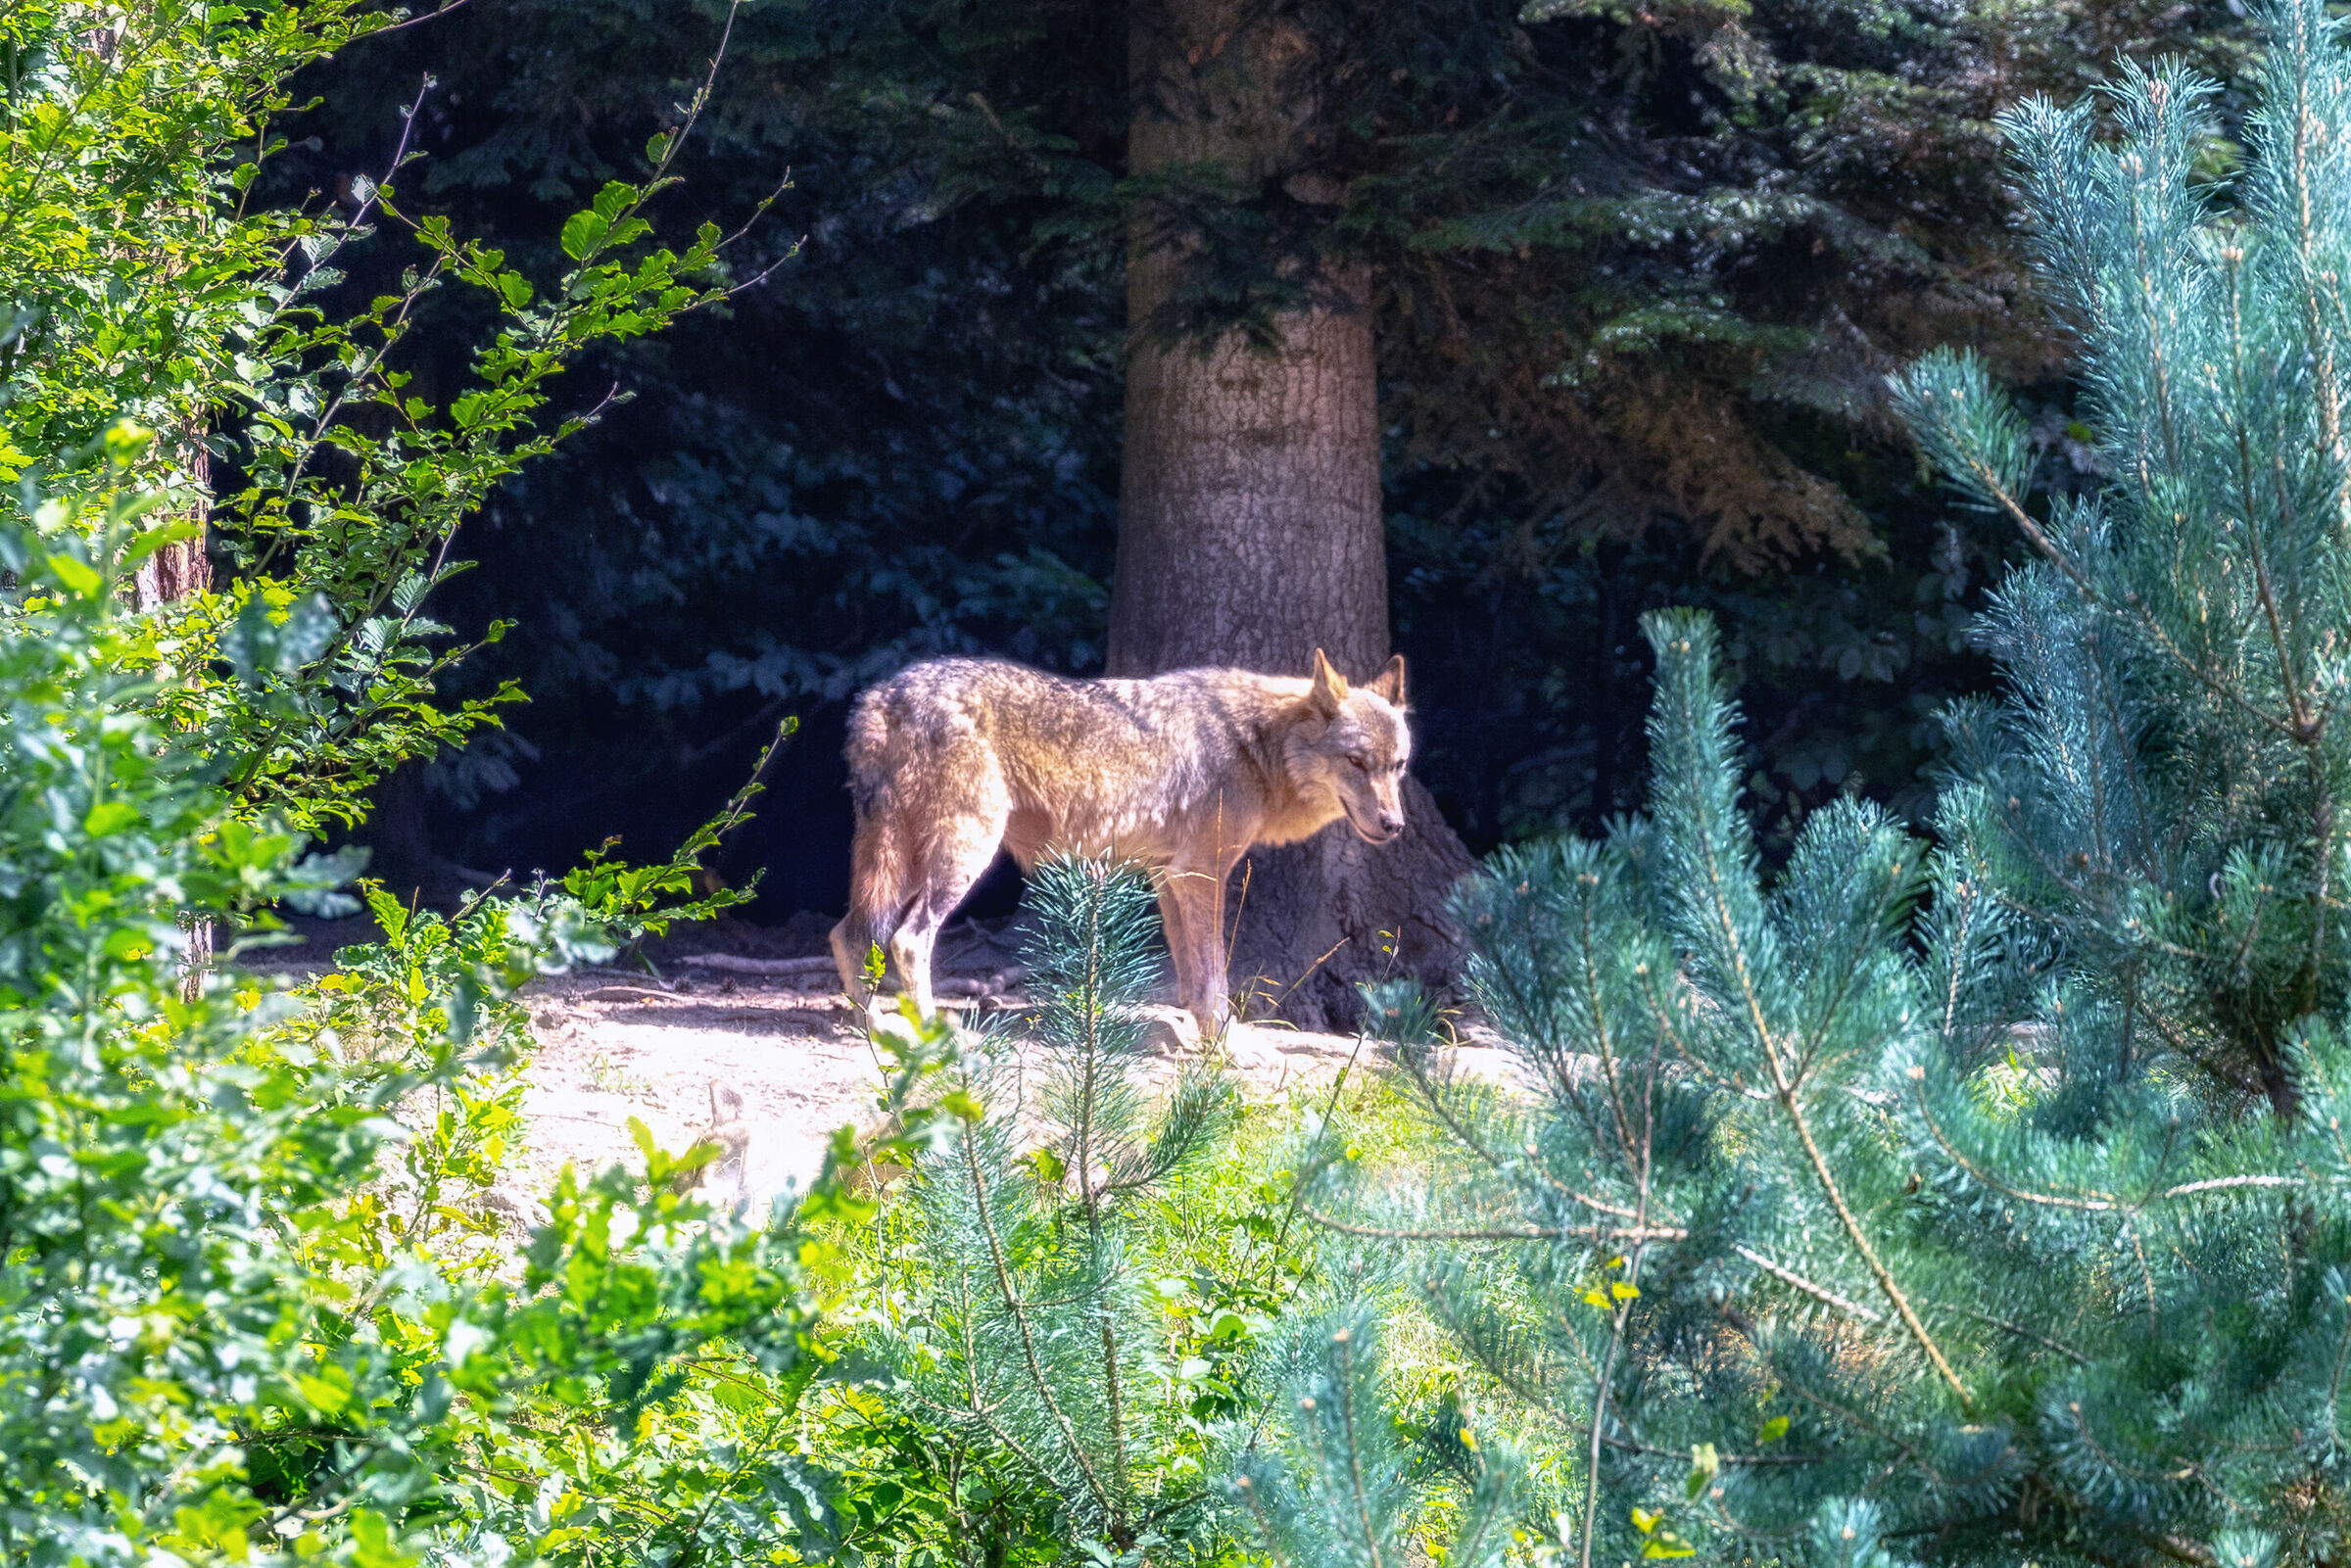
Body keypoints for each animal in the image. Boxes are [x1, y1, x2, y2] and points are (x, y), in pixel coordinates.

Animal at [829, 649, 1412, 1036]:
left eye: (1397, 765)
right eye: (1356, 762)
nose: (1394, 825)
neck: (1258, 744)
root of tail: (882, 696)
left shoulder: (1168, 874)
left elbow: (1192, 977)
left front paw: (1197, 1038)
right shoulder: (1200, 874)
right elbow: (1216, 980)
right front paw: (1227, 1049)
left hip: (899, 863)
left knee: (847, 934)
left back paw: (873, 1026)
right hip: (962, 855)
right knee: (907, 940)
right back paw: (932, 1035)